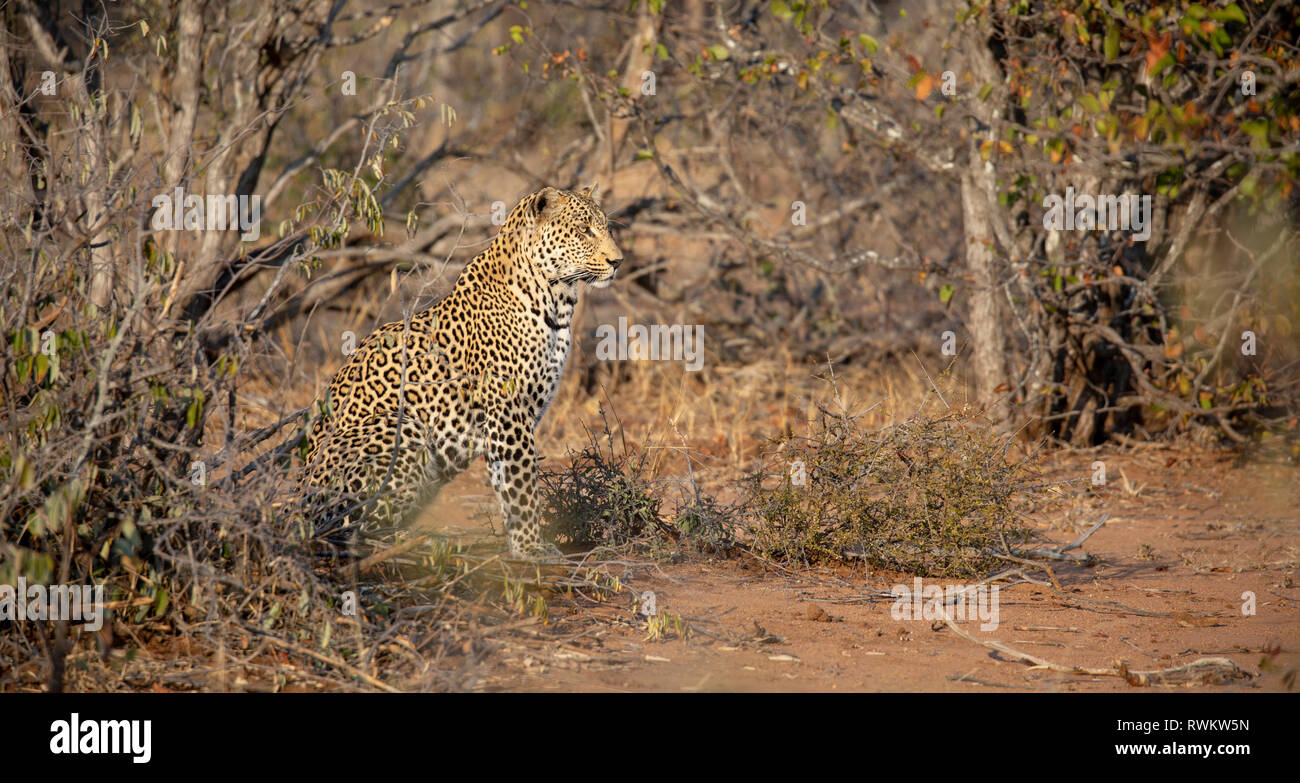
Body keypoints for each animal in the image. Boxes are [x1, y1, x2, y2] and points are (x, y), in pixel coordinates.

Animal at [296, 185, 622, 560]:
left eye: (606, 228)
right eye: (584, 230)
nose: (618, 262)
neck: (556, 300)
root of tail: (297, 505)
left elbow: (507, 484)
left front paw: (520, 543)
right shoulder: (508, 409)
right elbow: (523, 484)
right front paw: (530, 547)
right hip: (400, 427)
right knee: (351, 531)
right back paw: (419, 543)